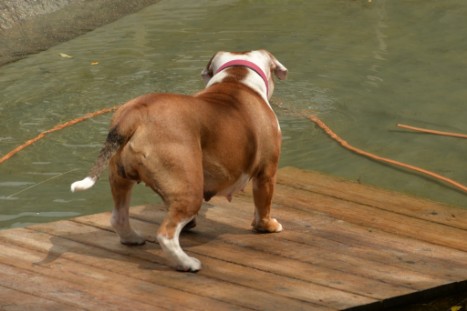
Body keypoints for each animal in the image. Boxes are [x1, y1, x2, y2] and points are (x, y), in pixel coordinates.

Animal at [71, 50, 288, 272]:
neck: (236, 78)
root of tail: (135, 113)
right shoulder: (267, 173)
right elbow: (263, 205)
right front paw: (268, 226)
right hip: (190, 190)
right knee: (165, 234)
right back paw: (187, 263)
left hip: (121, 178)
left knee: (119, 217)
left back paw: (132, 238)